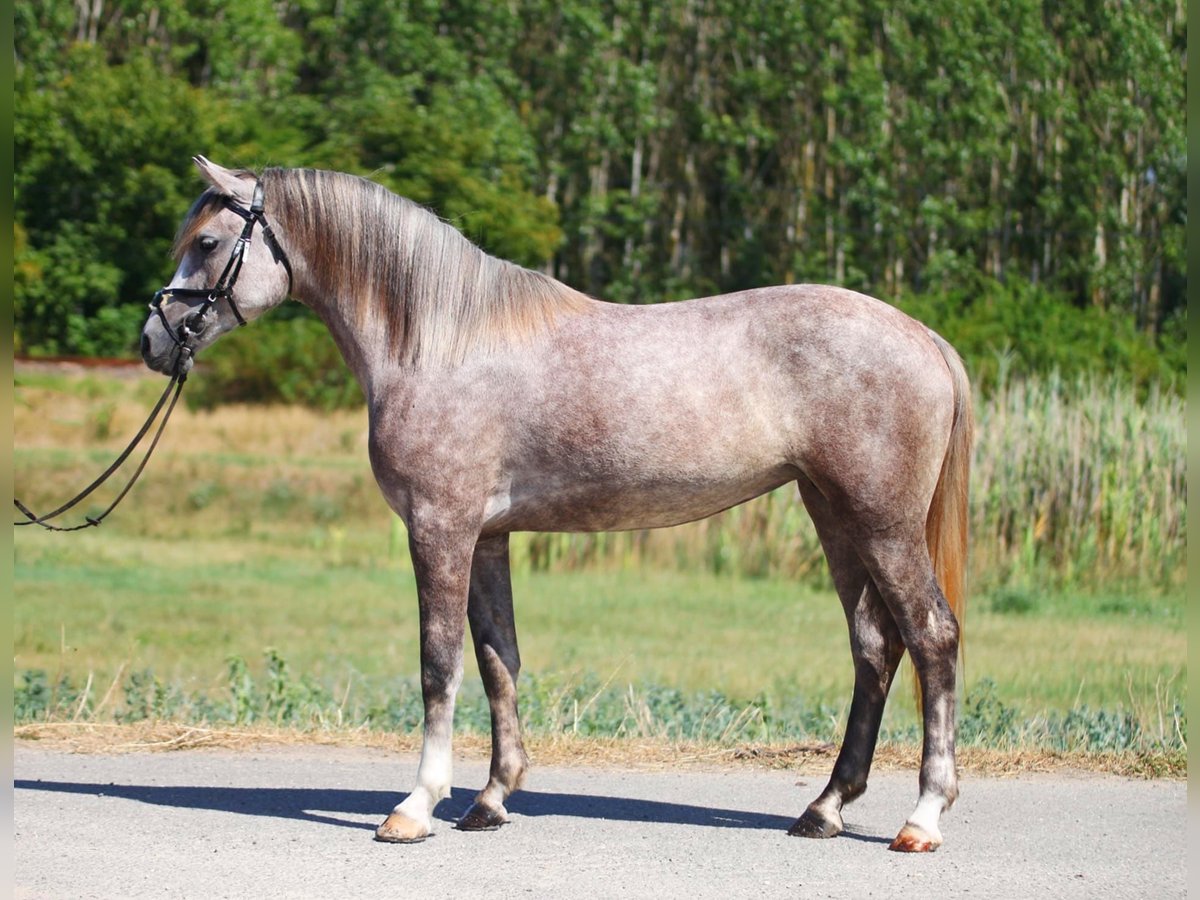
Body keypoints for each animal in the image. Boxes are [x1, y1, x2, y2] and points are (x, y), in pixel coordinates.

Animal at [140, 158, 969, 854]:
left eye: (208, 241)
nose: (154, 338)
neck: (440, 343)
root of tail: (924, 337)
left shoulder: (440, 528)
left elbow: (439, 663)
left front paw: (415, 806)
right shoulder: (487, 537)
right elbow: (497, 658)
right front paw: (491, 799)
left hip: (882, 524)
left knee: (932, 637)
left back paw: (922, 818)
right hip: (834, 517)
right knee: (874, 647)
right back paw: (824, 809)